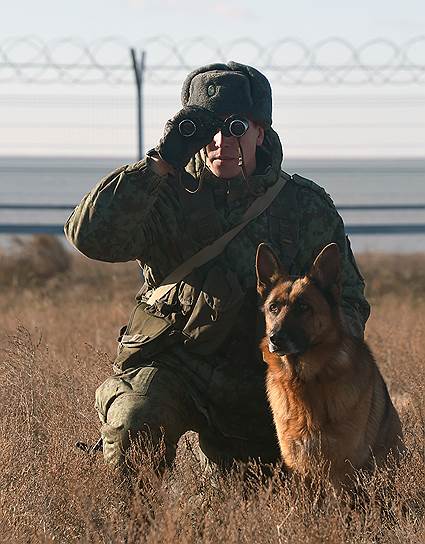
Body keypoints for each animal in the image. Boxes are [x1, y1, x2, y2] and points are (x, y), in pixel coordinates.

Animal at [253, 243, 402, 488]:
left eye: (303, 307)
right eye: (273, 307)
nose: (276, 338)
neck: (305, 380)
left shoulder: (343, 470)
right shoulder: (298, 465)